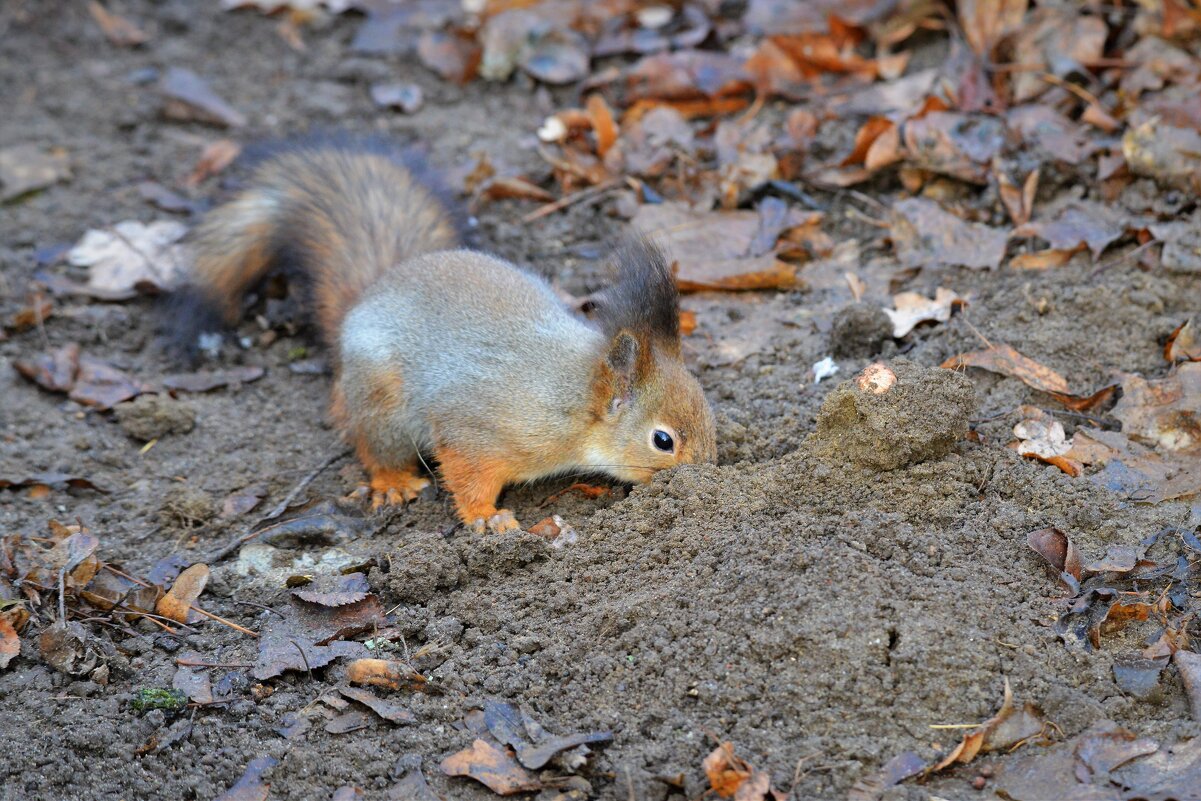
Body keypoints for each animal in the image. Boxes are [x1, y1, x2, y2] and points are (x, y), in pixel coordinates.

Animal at [180, 144, 710, 533]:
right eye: (663, 441)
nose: (706, 476)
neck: (572, 397)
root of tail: (366, 298)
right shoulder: (478, 430)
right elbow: (467, 473)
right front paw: (486, 518)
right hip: (380, 402)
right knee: (371, 442)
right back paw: (392, 480)